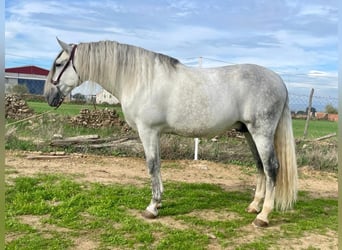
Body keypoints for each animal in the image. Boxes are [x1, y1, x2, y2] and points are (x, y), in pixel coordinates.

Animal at [44, 38, 296, 227]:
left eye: (59, 64)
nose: (48, 96)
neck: (139, 79)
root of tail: (279, 81)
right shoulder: (155, 133)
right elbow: (157, 167)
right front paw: (158, 202)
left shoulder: (148, 131)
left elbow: (152, 166)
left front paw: (152, 208)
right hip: (248, 133)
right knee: (260, 166)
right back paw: (254, 206)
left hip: (261, 133)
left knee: (272, 168)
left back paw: (263, 216)